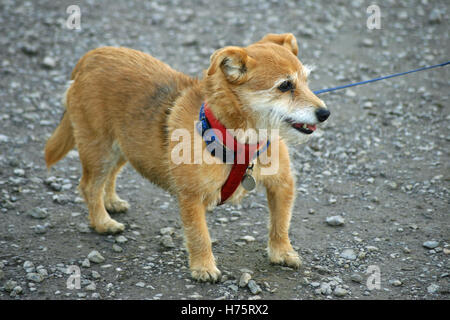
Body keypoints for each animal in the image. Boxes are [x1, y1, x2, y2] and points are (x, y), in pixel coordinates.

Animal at [44, 33, 328, 282]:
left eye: (306, 81)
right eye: (285, 86)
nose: (325, 113)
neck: (242, 139)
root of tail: (90, 57)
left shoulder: (282, 185)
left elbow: (281, 224)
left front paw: (283, 252)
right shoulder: (192, 197)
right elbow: (199, 235)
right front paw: (203, 268)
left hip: (125, 145)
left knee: (111, 175)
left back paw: (111, 202)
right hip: (99, 149)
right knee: (90, 186)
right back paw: (102, 222)